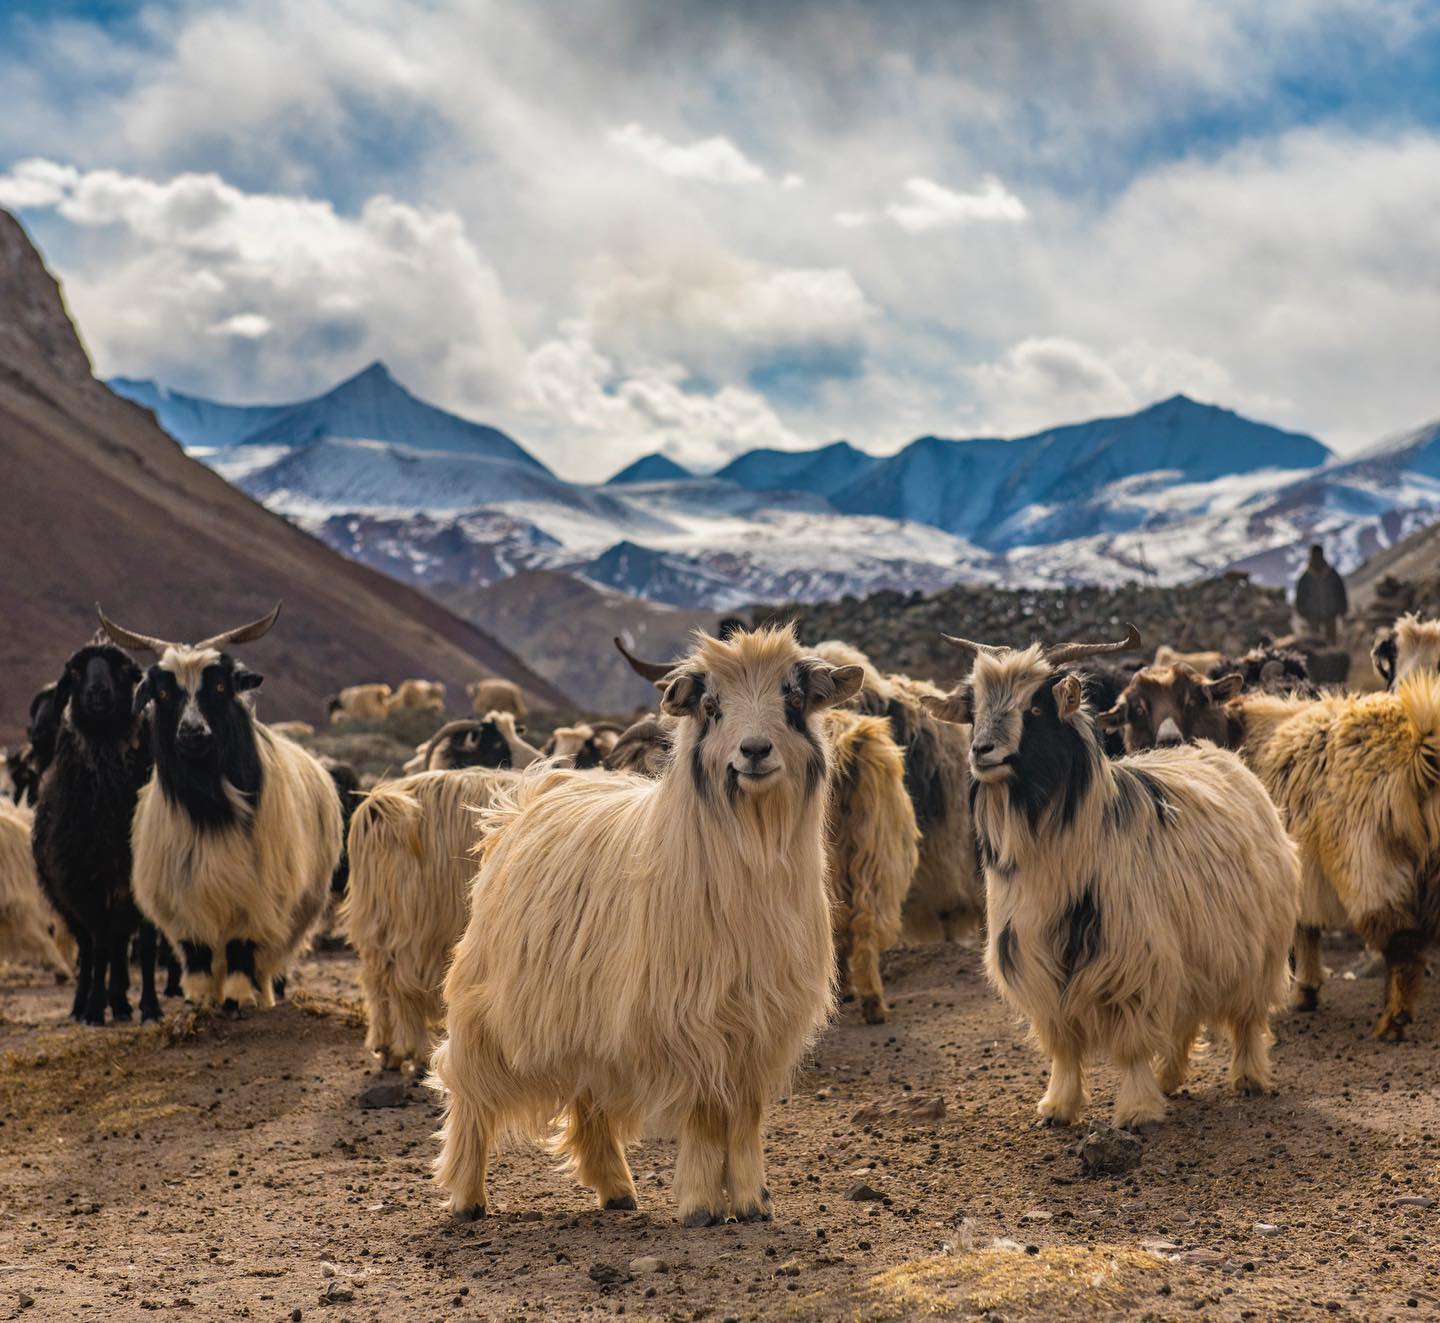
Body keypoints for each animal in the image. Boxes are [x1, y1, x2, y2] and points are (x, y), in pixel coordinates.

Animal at [32, 640, 165, 1022]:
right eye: (76, 671)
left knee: (118, 947)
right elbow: (99, 946)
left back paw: (119, 1003)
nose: (97, 692)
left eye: (121, 669)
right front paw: (92, 1009)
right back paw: (84, 1004)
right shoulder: (86, 882)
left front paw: (150, 1007)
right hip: (68, 898)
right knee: (92, 949)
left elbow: (145, 946)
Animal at [101, 605, 342, 1015]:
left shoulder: (257, 892)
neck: (211, 810)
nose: (192, 732)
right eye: (162, 692)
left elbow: (242, 947)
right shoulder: (183, 892)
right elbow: (196, 949)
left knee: (265, 958)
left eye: (218, 687)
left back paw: (260, 995)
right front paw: (199, 998)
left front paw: (239, 996)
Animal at [343, 766, 517, 1071]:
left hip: (381, 915)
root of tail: (380, 804)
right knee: (401, 982)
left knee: (377, 980)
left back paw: (388, 1049)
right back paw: (412, 1050)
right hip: (418, 920)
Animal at [431, 628, 861, 1225]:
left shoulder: (761, 1021)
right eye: (711, 707)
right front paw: (701, 1205)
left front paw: (753, 1202)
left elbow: (746, 1113)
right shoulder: (691, 1016)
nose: (754, 751)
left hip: (585, 1011)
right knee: (468, 1088)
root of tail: (533, 796)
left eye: (794, 700)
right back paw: (467, 1196)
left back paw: (615, 1188)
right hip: (487, 1004)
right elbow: (706, 1110)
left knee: (588, 1093)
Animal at [922, 625, 1299, 1129]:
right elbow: (1063, 1043)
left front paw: (1137, 1109)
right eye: (973, 710)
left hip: (1259, 946)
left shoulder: (1133, 955)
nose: (982, 751)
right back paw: (1170, 1076)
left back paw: (1249, 1076)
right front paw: (1057, 1106)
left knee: (1247, 1017)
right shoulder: (1035, 958)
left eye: (1035, 708)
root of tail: (1222, 758)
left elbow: (1132, 1041)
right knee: (1183, 1014)